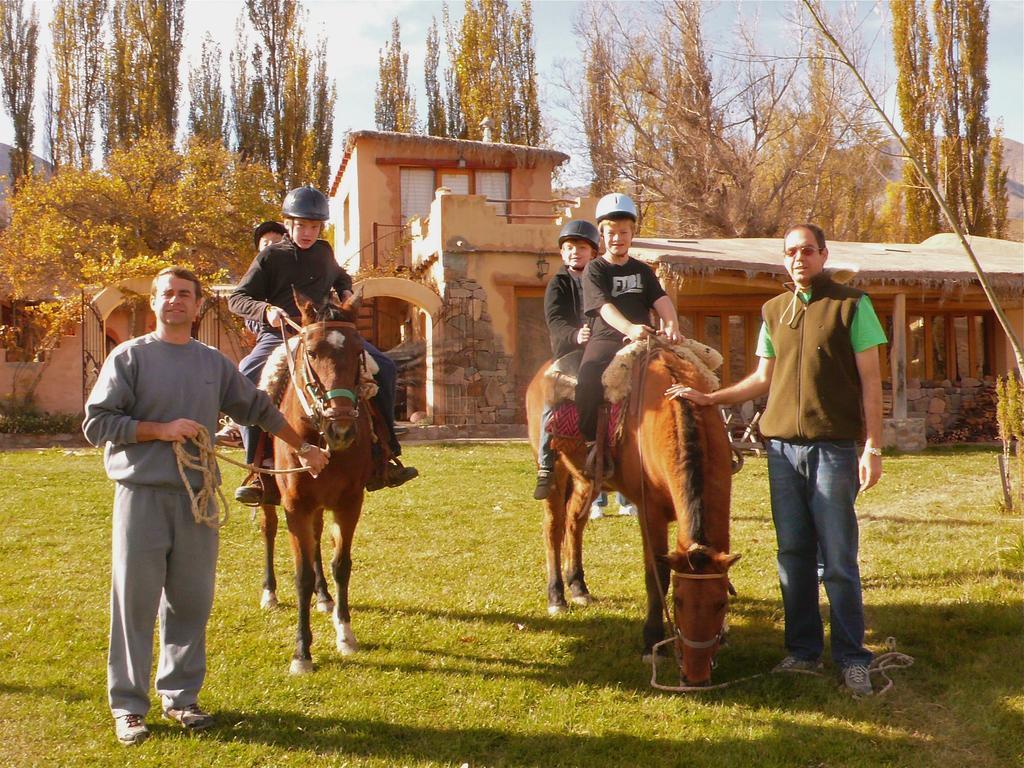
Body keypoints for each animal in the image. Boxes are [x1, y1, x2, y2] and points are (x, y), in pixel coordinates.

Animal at [264, 290, 376, 675]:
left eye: (358, 350)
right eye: (311, 352)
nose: (340, 429)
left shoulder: (349, 503)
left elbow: (341, 565)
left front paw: (345, 633)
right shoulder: (294, 506)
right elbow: (300, 576)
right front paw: (302, 652)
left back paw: (325, 597)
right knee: (268, 532)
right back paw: (269, 592)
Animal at [528, 339, 737, 688]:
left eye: (720, 602)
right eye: (678, 601)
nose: (695, 676)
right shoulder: (650, 513)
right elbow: (656, 575)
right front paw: (652, 642)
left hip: (586, 479)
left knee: (574, 524)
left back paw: (578, 586)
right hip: (555, 471)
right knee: (553, 528)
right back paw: (557, 596)